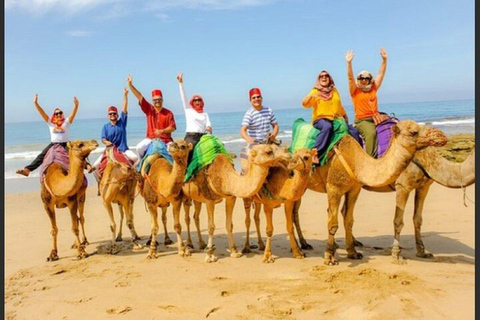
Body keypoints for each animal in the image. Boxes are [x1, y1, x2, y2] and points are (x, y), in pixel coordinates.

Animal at [284, 121, 446, 266]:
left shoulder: (354, 188)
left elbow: (348, 219)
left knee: (295, 213)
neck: (356, 161)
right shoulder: (333, 187)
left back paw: (305, 244)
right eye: (413, 132)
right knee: (294, 212)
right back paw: (300, 248)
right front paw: (329, 257)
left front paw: (353, 253)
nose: (440, 136)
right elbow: (332, 223)